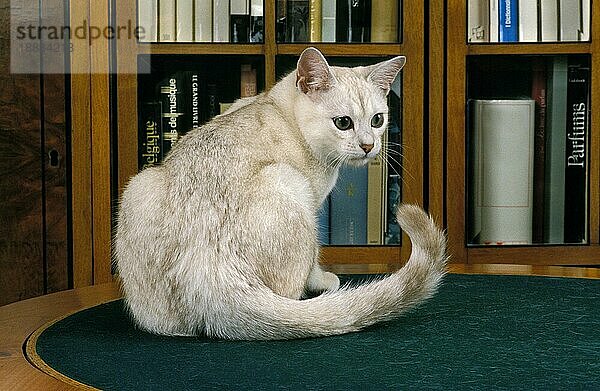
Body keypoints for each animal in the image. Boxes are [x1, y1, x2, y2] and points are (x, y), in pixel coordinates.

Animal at [115, 46, 448, 340]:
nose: (369, 146)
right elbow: (314, 260)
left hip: (138, 188)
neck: (278, 107)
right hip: (288, 182)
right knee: (291, 294)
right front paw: (323, 279)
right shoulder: (313, 203)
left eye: (377, 120)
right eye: (343, 123)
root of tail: (206, 270)